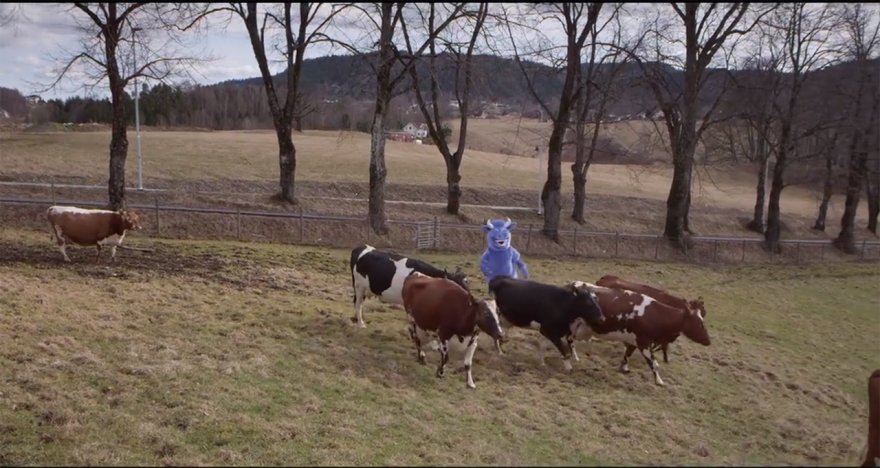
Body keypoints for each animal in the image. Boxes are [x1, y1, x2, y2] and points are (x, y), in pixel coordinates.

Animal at [565, 281, 711, 386]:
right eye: (700, 324)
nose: (708, 341)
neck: (656, 314)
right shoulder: (644, 342)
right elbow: (654, 364)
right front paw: (659, 381)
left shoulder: (634, 340)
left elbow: (627, 354)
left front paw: (624, 367)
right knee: (569, 341)